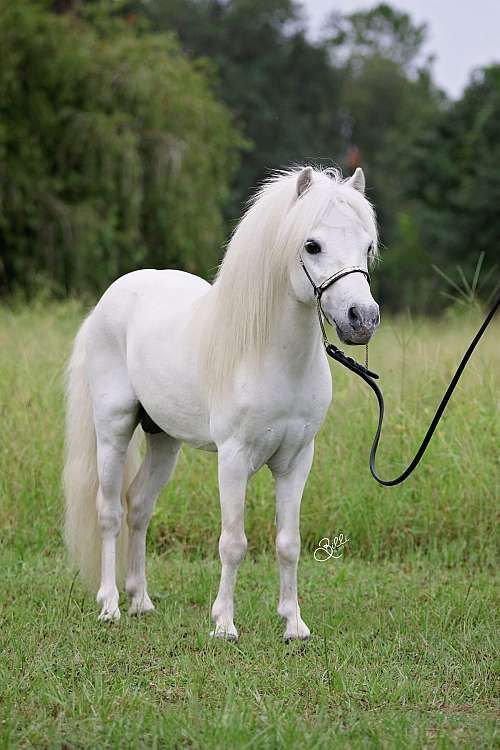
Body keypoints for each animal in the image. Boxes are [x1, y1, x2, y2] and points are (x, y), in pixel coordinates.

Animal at [64, 167, 380, 644]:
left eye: (367, 246)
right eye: (312, 245)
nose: (362, 319)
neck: (270, 357)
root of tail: (108, 300)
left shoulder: (296, 460)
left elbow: (288, 543)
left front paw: (293, 624)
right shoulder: (233, 459)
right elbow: (233, 543)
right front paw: (224, 625)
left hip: (164, 440)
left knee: (138, 505)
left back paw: (140, 601)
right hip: (113, 428)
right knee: (109, 512)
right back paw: (110, 606)